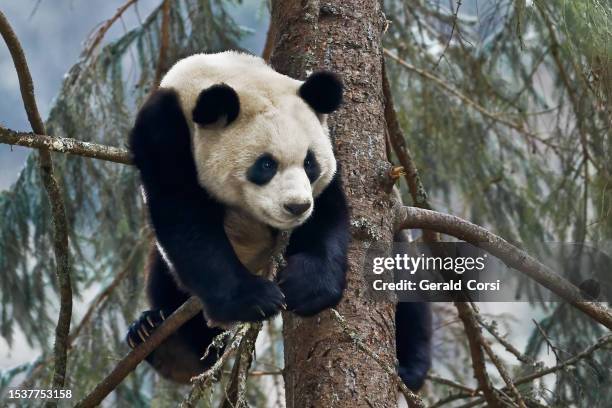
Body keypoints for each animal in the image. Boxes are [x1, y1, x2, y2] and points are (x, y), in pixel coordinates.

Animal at [124, 51, 430, 388]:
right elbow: (185, 222)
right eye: (266, 164)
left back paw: (408, 367)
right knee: (168, 283)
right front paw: (256, 299)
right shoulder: (162, 135)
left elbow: (328, 212)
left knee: (404, 287)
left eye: (309, 163)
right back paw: (161, 337)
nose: (296, 206)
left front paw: (307, 285)